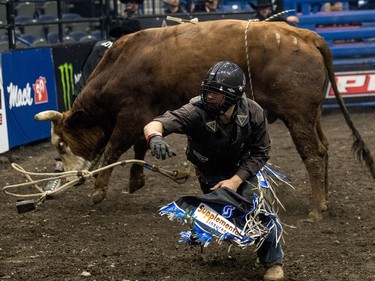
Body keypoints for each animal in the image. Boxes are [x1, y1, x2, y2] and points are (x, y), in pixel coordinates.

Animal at [33, 20, 374, 220]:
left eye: (61, 145)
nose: (65, 180)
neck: (121, 63)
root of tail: (304, 34)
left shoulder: (130, 112)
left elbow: (115, 148)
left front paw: (98, 191)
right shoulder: (144, 113)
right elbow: (141, 145)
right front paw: (136, 180)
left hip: (298, 115)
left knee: (313, 154)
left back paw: (316, 210)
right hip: (312, 115)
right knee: (324, 148)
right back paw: (324, 200)